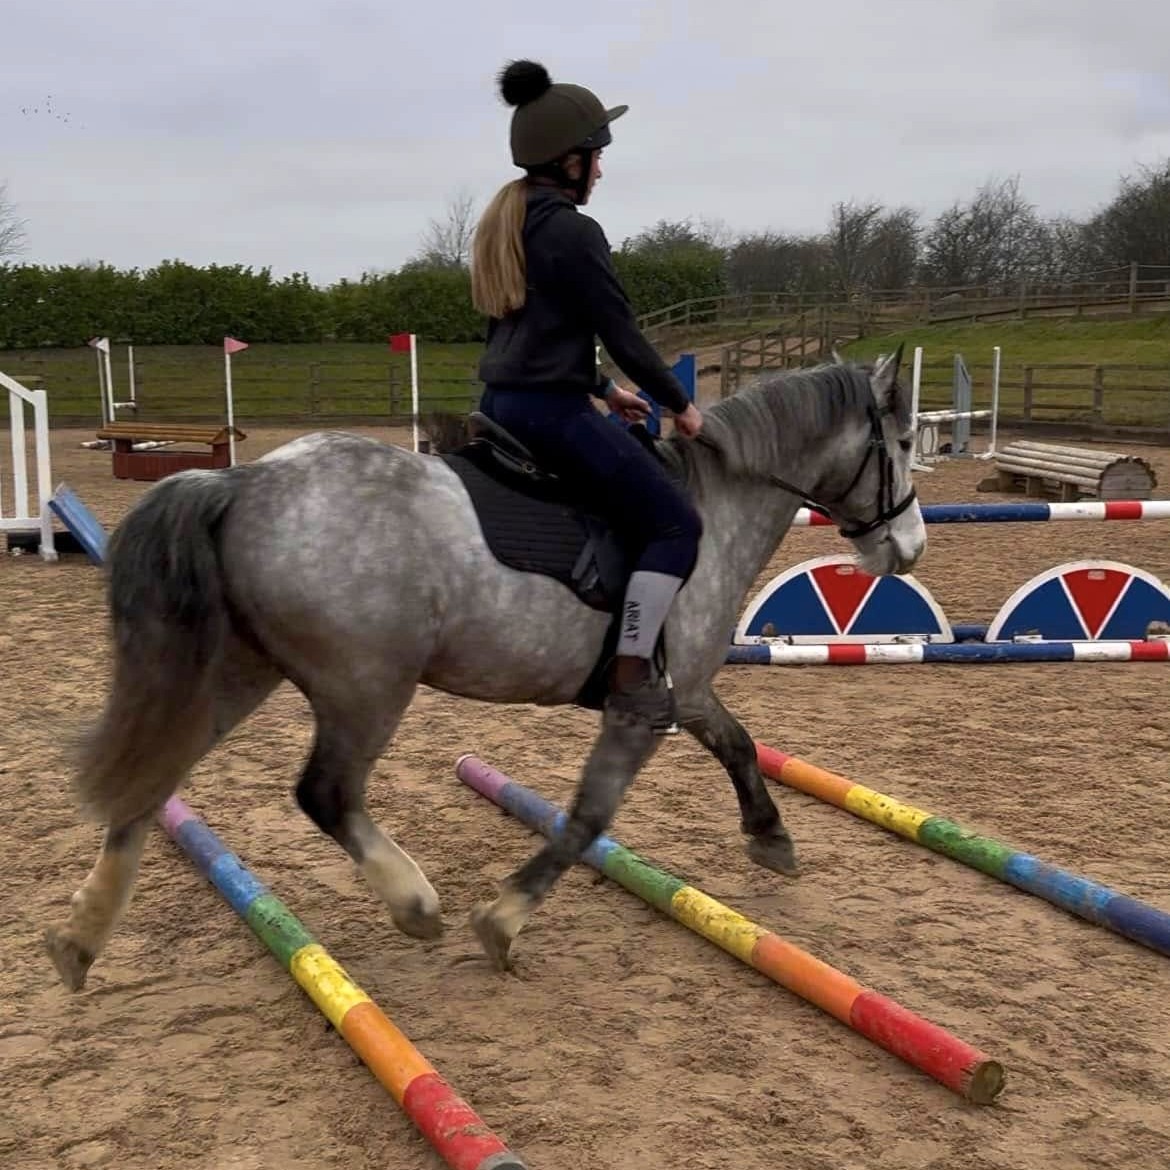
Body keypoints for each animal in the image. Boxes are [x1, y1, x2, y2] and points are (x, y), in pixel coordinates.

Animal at [44, 345, 925, 990]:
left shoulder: (687, 690)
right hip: (367, 688)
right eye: (907, 444)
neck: (715, 504)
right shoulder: (641, 707)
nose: (909, 547)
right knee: (325, 793)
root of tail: (245, 479)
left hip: (239, 672)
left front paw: (771, 837)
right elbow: (588, 817)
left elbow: (737, 743)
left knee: (155, 776)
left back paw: (82, 937)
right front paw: (502, 922)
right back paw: (414, 903)